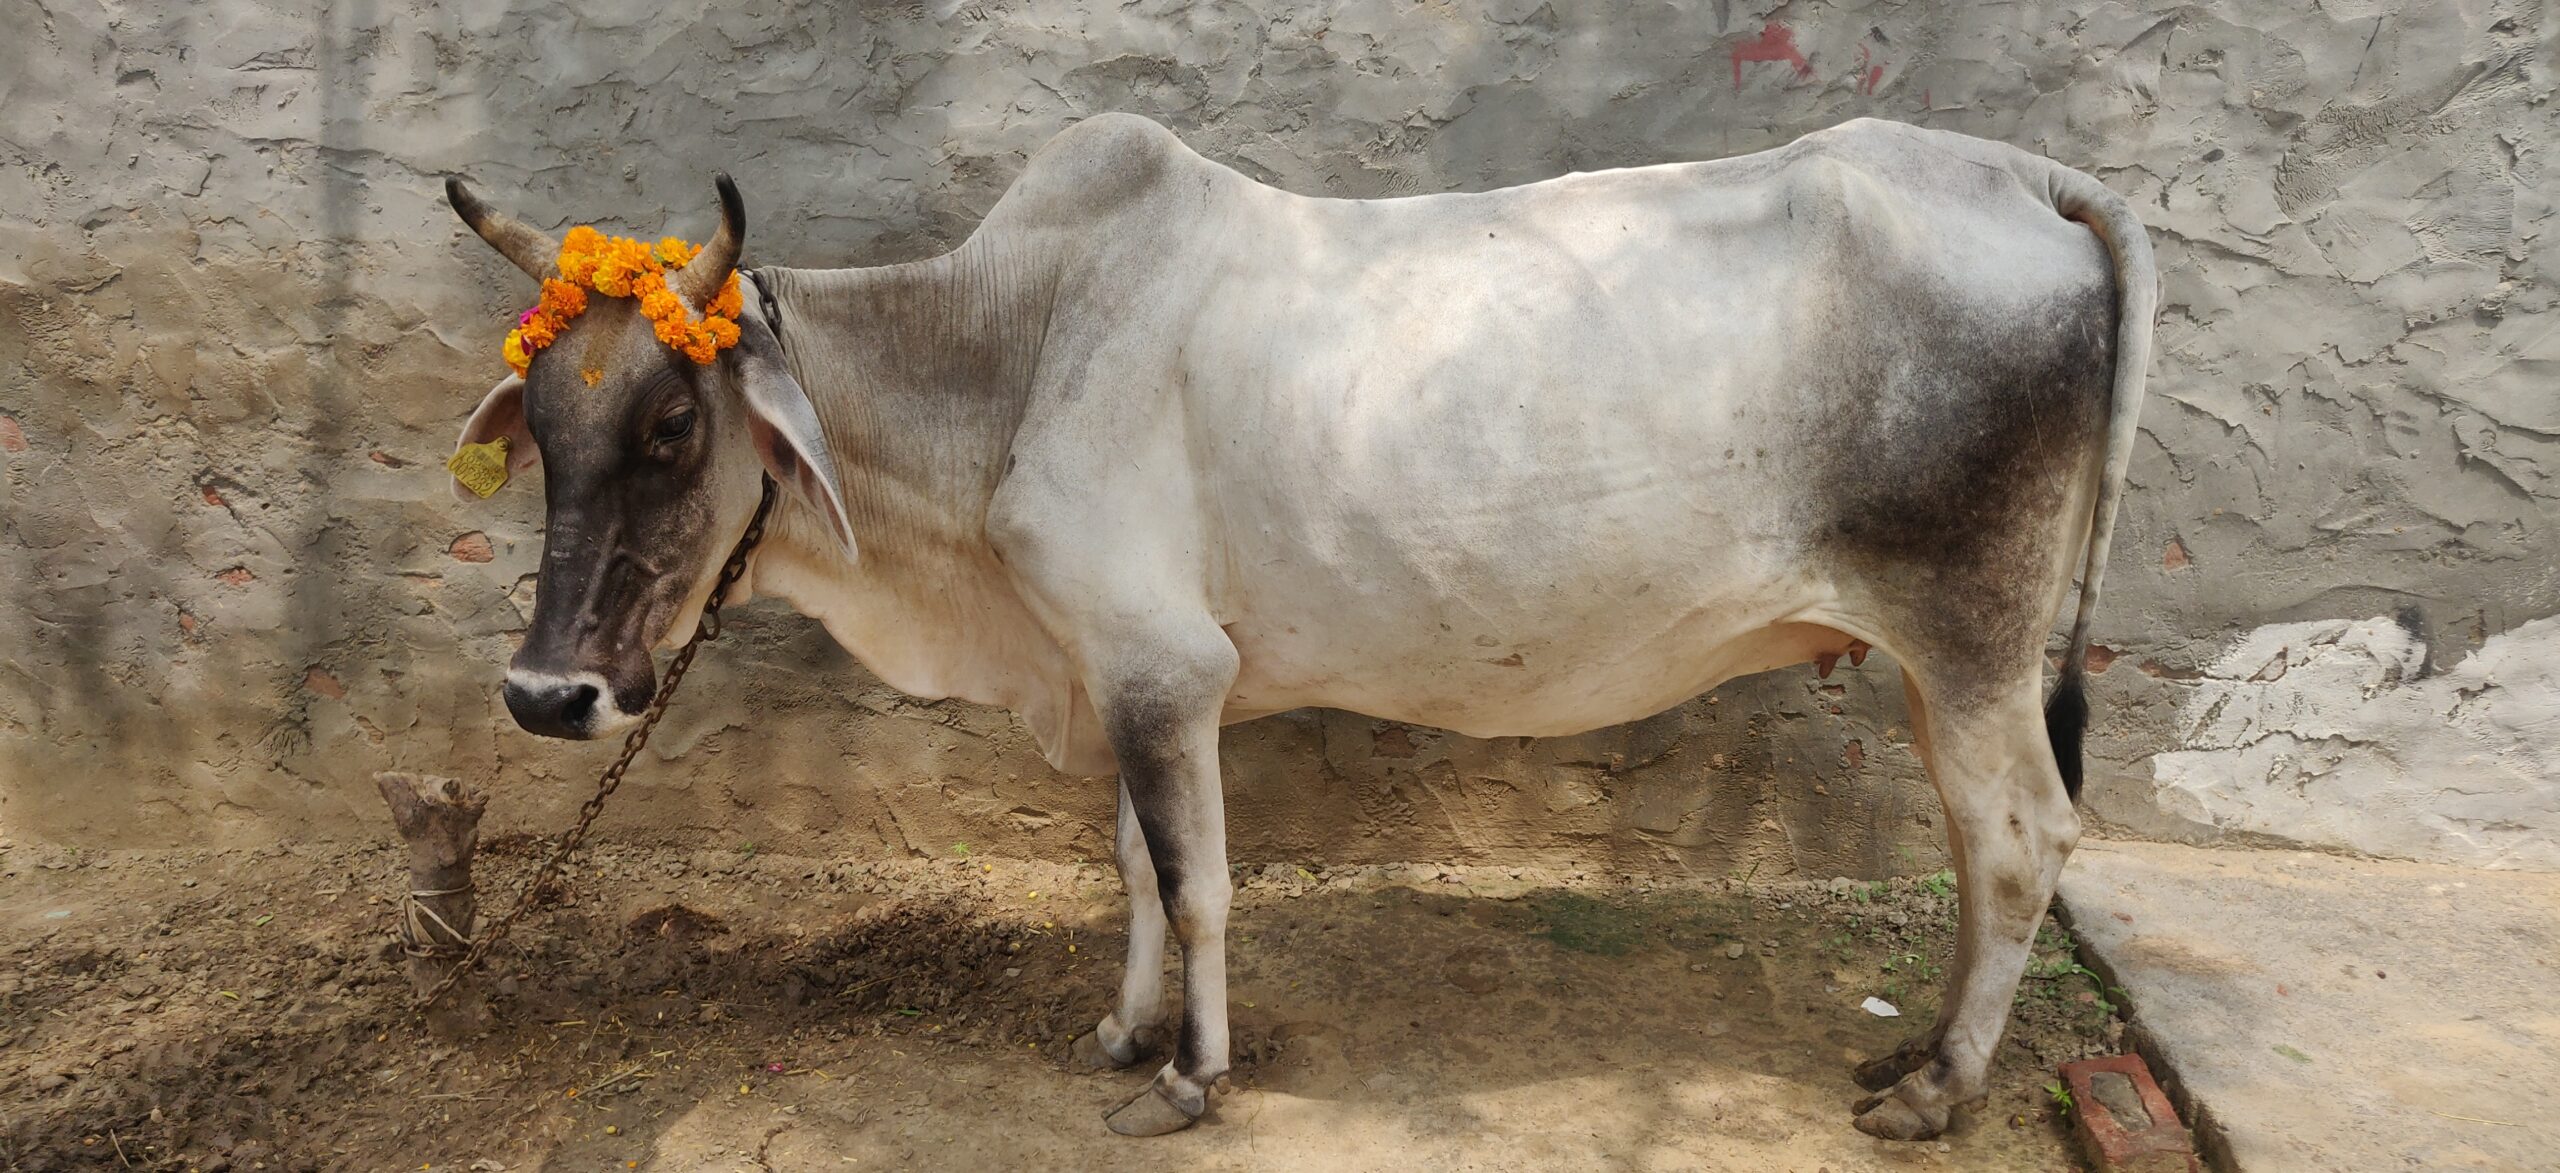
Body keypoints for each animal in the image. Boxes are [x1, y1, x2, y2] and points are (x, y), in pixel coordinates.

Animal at [442, 113, 2154, 1141]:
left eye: (673, 424)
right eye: (541, 428)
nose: (545, 693)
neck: (1013, 352)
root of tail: (2017, 174)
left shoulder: (1160, 666)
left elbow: (1198, 882)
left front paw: (1192, 1077)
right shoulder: (1128, 674)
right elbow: (1139, 867)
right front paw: (1122, 1033)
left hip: (1973, 639)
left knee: (2023, 839)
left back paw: (1939, 1086)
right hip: (1945, 665)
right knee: (1982, 842)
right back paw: (1918, 1047)